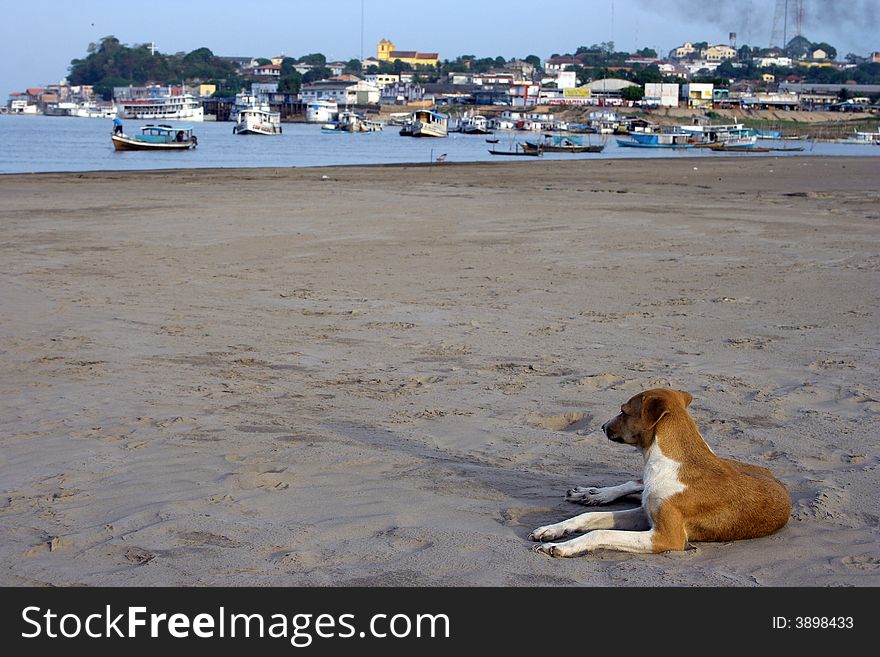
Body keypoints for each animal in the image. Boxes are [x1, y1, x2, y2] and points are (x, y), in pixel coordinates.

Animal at [528, 386, 792, 556]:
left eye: (623, 411)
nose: (602, 426)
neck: (668, 464)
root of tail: (772, 473)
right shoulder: (647, 514)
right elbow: (589, 517)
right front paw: (553, 529)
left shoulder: (666, 536)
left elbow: (600, 532)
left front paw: (563, 546)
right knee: (636, 483)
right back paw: (594, 493)